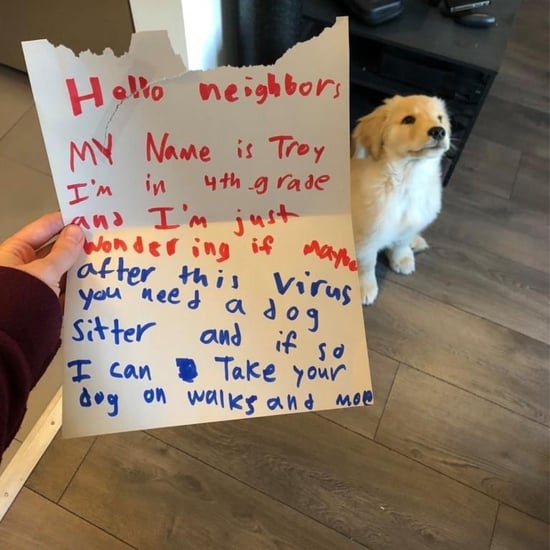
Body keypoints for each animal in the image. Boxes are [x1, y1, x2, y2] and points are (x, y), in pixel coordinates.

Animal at [354, 92, 452, 304]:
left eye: (439, 118)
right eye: (408, 120)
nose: (439, 131)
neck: (408, 180)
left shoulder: (411, 223)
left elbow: (401, 241)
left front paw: (402, 257)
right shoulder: (367, 236)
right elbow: (366, 264)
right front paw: (365, 287)